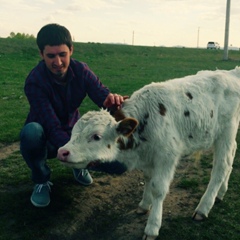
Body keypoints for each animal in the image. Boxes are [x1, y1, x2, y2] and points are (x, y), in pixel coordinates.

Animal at [57, 67, 240, 240]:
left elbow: (158, 189)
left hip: (226, 133)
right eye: (73, 132)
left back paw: (203, 207)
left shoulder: (167, 156)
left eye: (96, 136)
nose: (62, 152)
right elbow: (147, 180)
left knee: (221, 167)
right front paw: (144, 204)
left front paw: (152, 227)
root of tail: (231, 73)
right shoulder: (148, 158)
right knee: (231, 157)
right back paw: (221, 193)